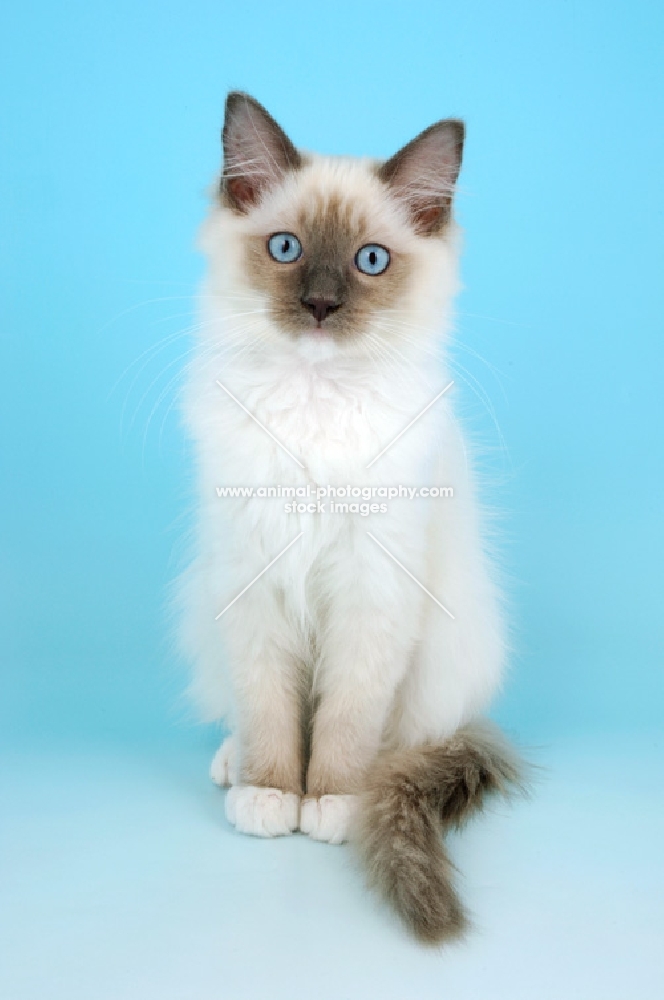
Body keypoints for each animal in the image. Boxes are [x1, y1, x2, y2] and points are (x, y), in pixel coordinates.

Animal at [179, 94, 520, 944]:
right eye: (286, 249)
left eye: (370, 261)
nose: (321, 306)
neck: (314, 404)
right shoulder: (255, 588)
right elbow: (271, 710)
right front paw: (271, 794)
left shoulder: (372, 596)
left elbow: (341, 722)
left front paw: (329, 801)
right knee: (239, 709)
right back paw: (233, 765)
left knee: (402, 741)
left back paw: (371, 783)